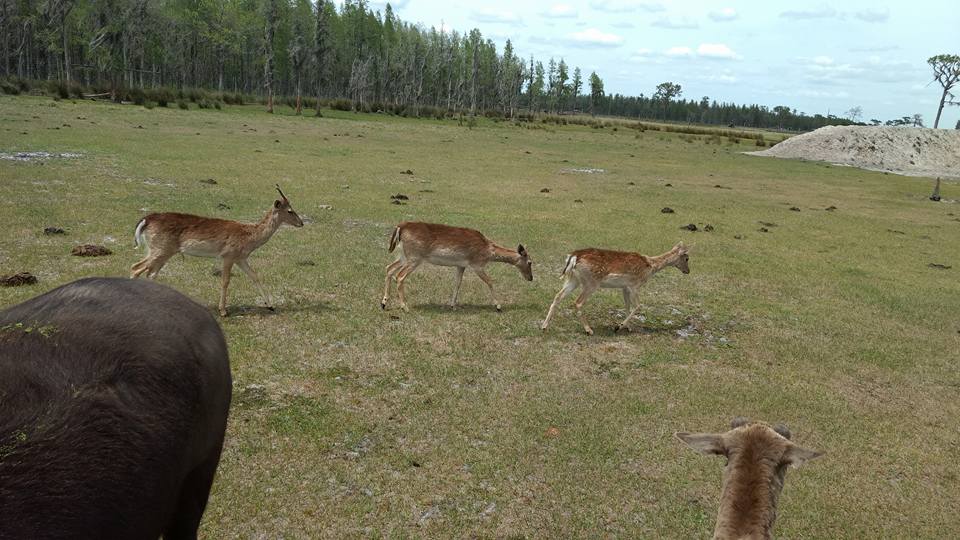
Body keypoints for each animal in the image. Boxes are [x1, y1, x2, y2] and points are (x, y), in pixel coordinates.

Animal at [131, 185, 304, 316]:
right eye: (289, 210)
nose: (301, 223)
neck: (249, 237)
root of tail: (146, 220)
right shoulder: (228, 255)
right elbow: (225, 281)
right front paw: (223, 311)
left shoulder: (241, 258)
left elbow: (254, 276)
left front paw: (271, 305)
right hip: (161, 249)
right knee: (136, 268)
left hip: (161, 252)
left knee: (149, 273)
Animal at [381, 221, 533, 312]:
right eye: (530, 262)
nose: (531, 278)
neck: (488, 250)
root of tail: (400, 226)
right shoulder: (477, 264)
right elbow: (490, 281)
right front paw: (498, 306)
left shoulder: (461, 265)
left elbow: (457, 283)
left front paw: (452, 305)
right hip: (414, 258)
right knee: (399, 276)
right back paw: (405, 307)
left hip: (403, 256)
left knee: (389, 268)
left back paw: (383, 303)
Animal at [541, 242, 690, 335]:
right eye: (687, 258)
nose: (688, 271)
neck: (650, 266)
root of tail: (574, 256)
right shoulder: (634, 285)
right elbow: (638, 306)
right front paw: (618, 327)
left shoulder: (624, 287)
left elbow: (627, 306)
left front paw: (628, 327)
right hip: (591, 283)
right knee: (577, 302)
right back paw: (589, 330)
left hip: (573, 280)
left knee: (558, 296)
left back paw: (544, 326)